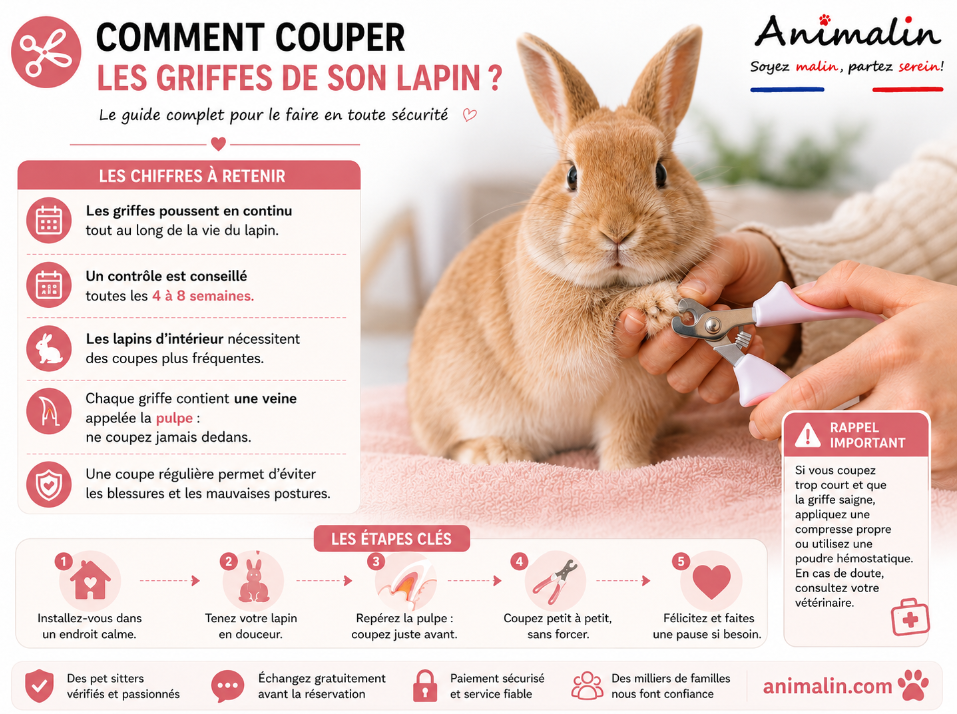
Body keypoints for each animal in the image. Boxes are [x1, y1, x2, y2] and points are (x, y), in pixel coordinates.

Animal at [408, 27, 715, 471]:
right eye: (571, 175)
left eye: (661, 171)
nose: (617, 231)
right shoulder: (561, 335)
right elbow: (604, 315)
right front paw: (662, 300)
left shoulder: (636, 403)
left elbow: (625, 438)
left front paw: (630, 469)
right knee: (451, 445)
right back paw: (497, 452)